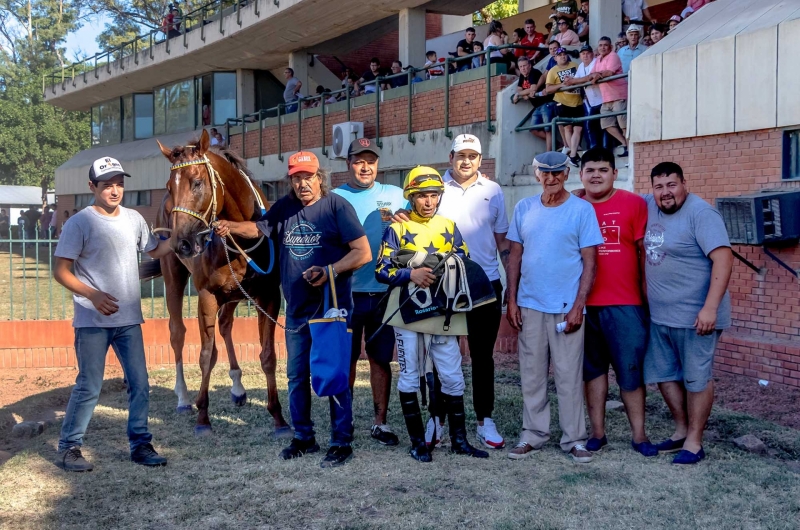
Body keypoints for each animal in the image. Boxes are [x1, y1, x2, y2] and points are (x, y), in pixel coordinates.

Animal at [149, 128, 290, 434]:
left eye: (197, 182)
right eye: (169, 187)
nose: (182, 243)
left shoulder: (268, 296)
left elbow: (268, 355)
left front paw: (279, 417)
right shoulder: (207, 295)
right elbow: (206, 355)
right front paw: (203, 417)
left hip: (235, 294)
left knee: (225, 325)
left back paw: (237, 387)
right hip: (174, 277)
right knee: (177, 333)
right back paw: (183, 397)